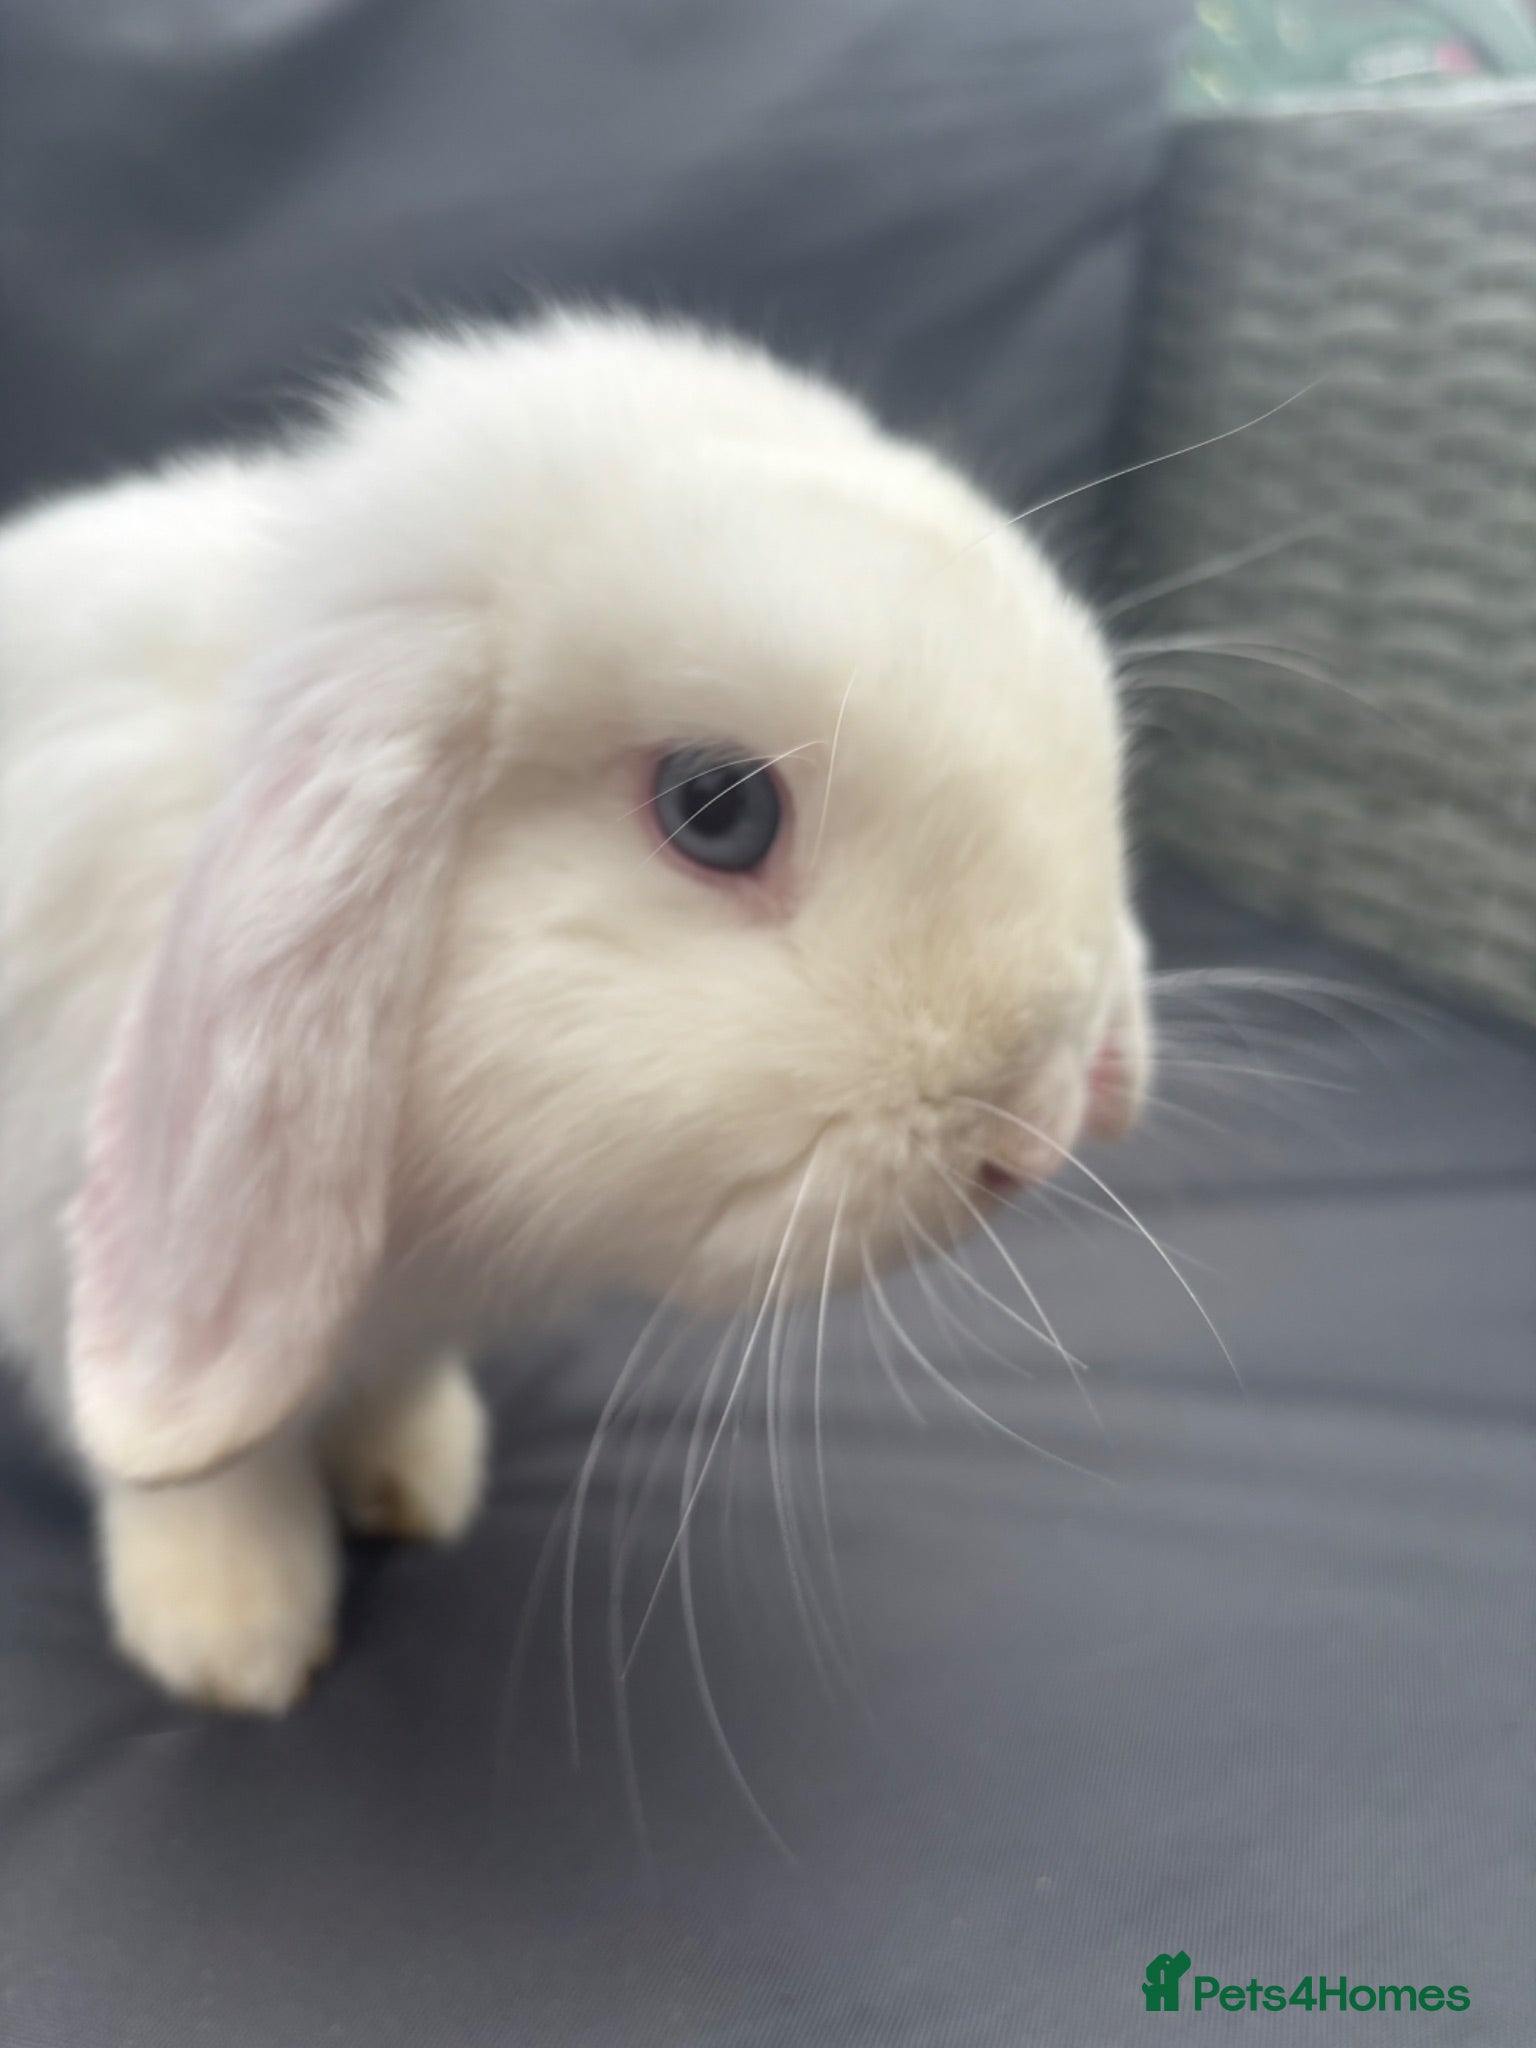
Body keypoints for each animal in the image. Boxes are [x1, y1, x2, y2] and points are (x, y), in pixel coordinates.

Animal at [0, 310, 1150, 1713]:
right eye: (718, 808)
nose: (1033, 1131)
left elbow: (390, 1394)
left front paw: (419, 1481)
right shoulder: (65, 1258)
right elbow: (203, 1481)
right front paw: (235, 1642)